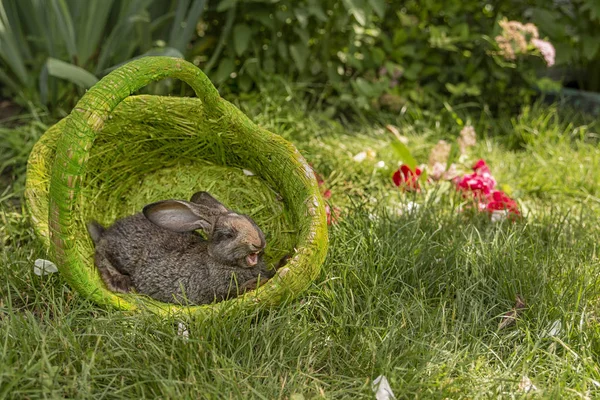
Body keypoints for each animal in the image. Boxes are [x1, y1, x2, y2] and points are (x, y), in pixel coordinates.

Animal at [86, 192, 274, 304]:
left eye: (251, 220)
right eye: (228, 234)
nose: (258, 243)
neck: (217, 261)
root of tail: (105, 233)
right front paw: (258, 282)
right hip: (119, 254)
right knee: (101, 255)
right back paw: (122, 284)